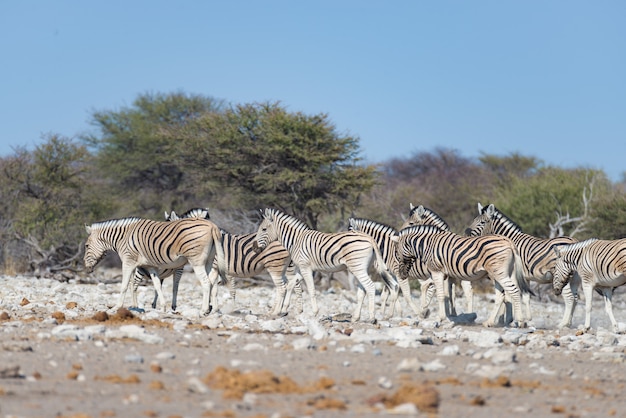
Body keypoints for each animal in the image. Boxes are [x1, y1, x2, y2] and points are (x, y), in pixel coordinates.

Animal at [82, 216, 224, 314]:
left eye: (87, 246)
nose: (86, 268)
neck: (123, 238)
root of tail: (212, 225)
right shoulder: (150, 266)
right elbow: (157, 286)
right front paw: (163, 307)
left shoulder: (128, 262)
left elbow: (124, 285)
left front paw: (116, 307)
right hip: (209, 260)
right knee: (213, 280)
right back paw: (214, 310)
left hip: (196, 261)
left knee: (206, 282)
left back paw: (203, 311)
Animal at [255, 209, 398, 324]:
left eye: (263, 229)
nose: (255, 248)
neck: (296, 240)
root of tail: (370, 238)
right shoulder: (302, 268)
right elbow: (290, 285)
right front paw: (284, 310)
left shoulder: (305, 267)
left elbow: (311, 289)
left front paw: (314, 312)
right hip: (362, 268)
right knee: (362, 290)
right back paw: (355, 317)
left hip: (357, 267)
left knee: (370, 286)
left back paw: (372, 318)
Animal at [394, 224, 528, 328]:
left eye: (396, 253)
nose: (401, 274)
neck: (427, 246)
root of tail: (508, 241)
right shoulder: (443, 274)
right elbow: (433, 289)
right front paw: (424, 310)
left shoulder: (437, 271)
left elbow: (440, 295)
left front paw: (440, 318)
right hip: (503, 273)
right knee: (501, 295)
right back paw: (489, 322)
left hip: (499, 272)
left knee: (514, 291)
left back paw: (520, 321)